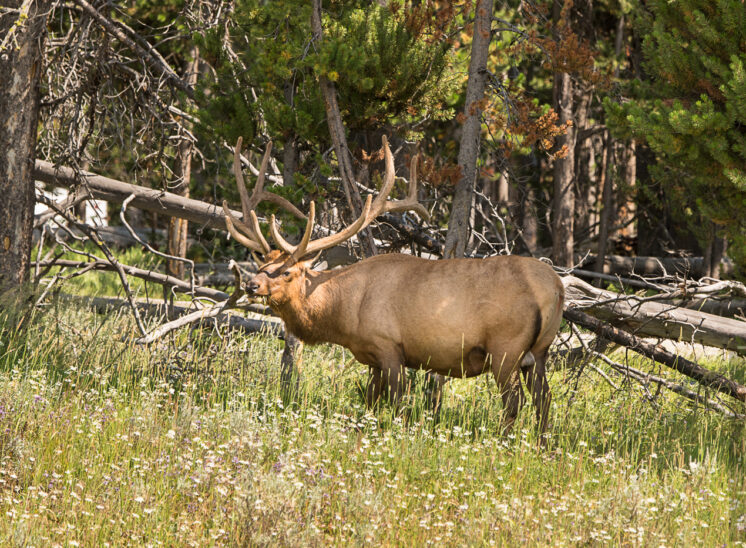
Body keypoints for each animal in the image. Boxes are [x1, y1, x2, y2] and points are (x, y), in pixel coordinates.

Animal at [224, 136, 560, 432]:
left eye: (287, 272)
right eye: (262, 264)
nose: (251, 285)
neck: (345, 313)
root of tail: (555, 288)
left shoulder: (389, 346)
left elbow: (398, 404)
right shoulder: (371, 357)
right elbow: (370, 403)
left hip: (506, 348)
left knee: (514, 403)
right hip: (538, 353)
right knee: (544, 401)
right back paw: (542, 447)